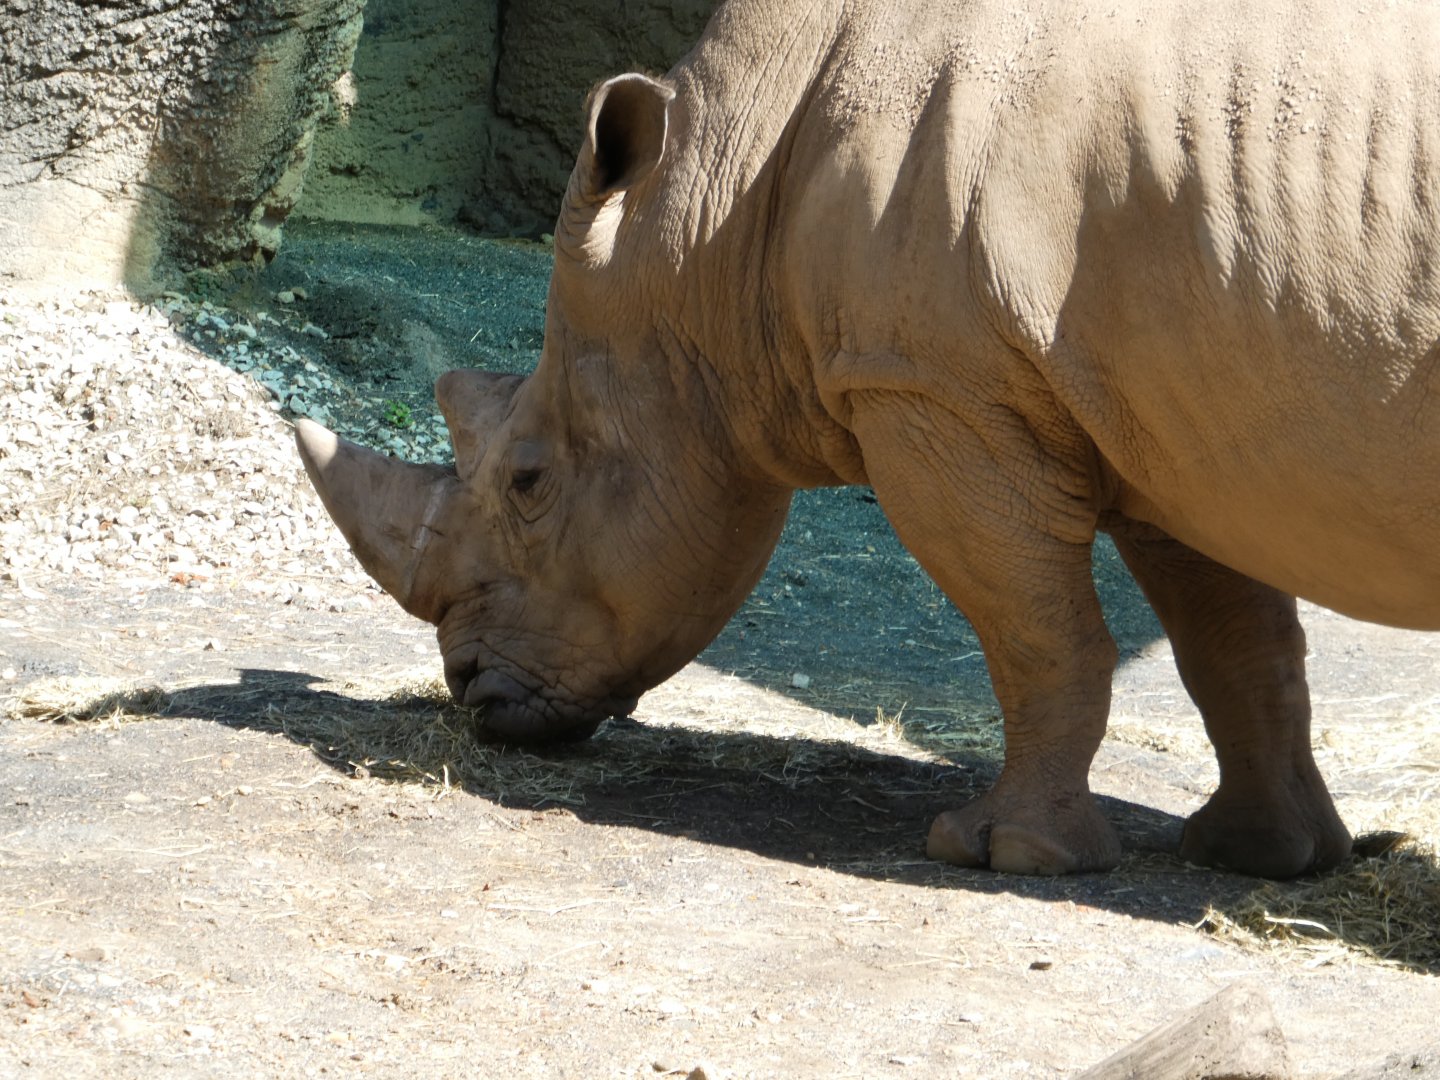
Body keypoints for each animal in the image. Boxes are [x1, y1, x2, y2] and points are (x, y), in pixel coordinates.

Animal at [295, 0, 1440, 878]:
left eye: (528, 481)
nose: (471, 694)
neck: (717, 216)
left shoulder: (932, 389)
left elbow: (1036, 632)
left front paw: (1003, 854)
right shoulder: (1172, 417)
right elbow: (1231, 639)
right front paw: (1262, 858)